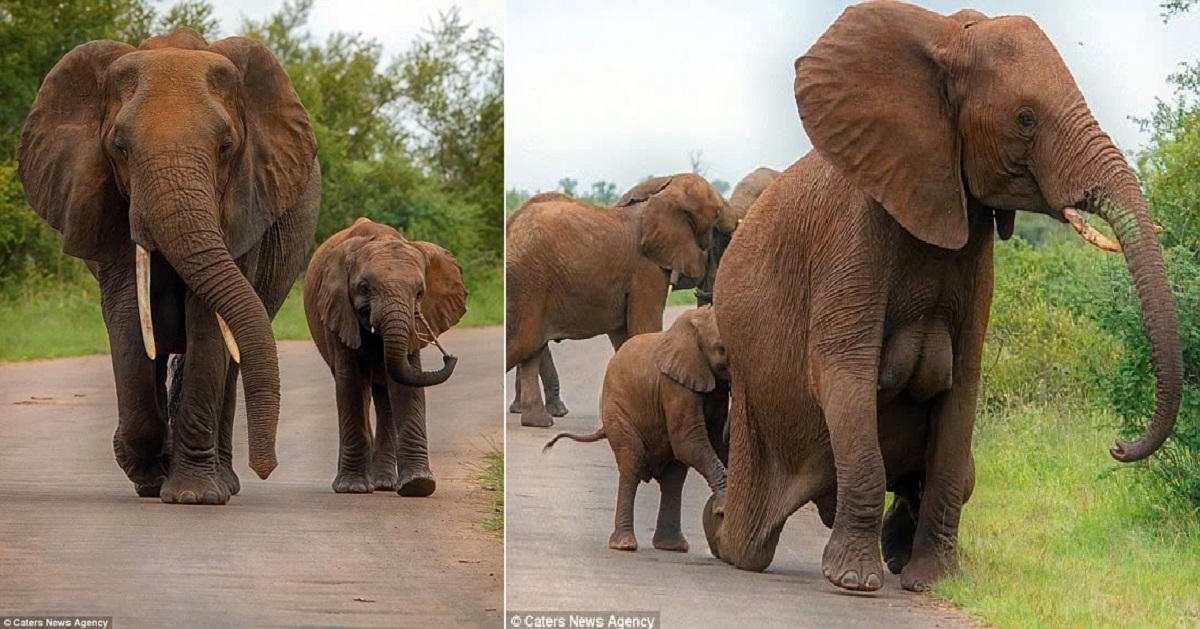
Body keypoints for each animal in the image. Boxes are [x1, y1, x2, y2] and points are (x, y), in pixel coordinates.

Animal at [17, 29, 319, 504]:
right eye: (120, 148)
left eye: (226, 147)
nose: (267, 468)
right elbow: (129, 320)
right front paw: (146, 468)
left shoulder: (243, 206)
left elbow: (208, 326)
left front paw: (193, 496)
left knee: (232, 361)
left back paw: (222, 482)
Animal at [302, 218, 465, 499]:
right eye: (364, 289)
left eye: (419, 293)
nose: (450, 358)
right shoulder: (338, 308)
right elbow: (350, 381)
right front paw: (352, 488)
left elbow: (406, 382)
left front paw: (418, 485)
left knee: (383, 395)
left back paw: (384, 484)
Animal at [504, 174, 720, 424]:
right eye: (715, 228)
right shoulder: (645, 269)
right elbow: (644, 328)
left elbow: (623, 337)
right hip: (527, 282)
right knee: (521, 343)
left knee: (531, 347)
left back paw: (539, 421)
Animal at [547, 307, 729, 552]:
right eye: (721, 348)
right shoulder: (674, 384)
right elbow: (689, 442)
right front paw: (722, 507)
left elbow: (715, 442)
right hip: (617, 413)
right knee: (631, 463)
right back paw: (624, 544)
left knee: (674, 477)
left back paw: (672, 546)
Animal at [700, 2, 1180, 595]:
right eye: (1025, 119)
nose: (1118, 445)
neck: (945, 37)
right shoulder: (851, 235)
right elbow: (844, 372)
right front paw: (854, 581)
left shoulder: (975, 247)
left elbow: (962, 399)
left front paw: (932, 582)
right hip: (751, 390)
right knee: (749, 536)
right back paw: (726, 531)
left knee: (958, 472)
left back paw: (897, 549)